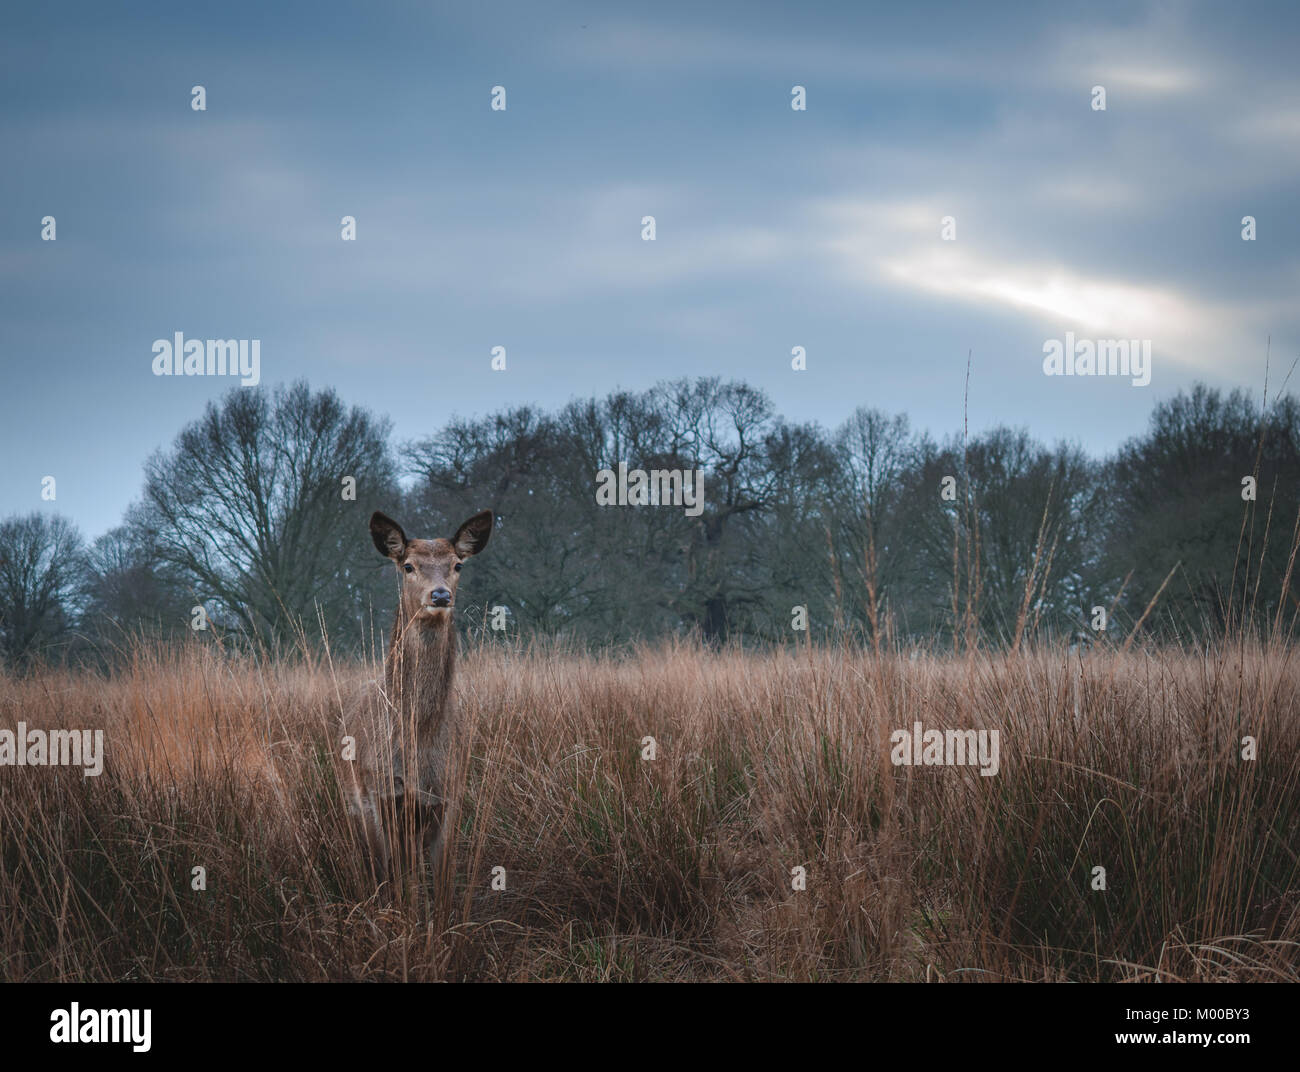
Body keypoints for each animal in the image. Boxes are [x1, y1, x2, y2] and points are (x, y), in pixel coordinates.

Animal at [340, 509, 491, 893]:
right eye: (408, 565)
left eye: (457, 564)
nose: (440, 595)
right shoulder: (376, 793)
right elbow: (387, 878)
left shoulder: (448, 794)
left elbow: (443, 884)